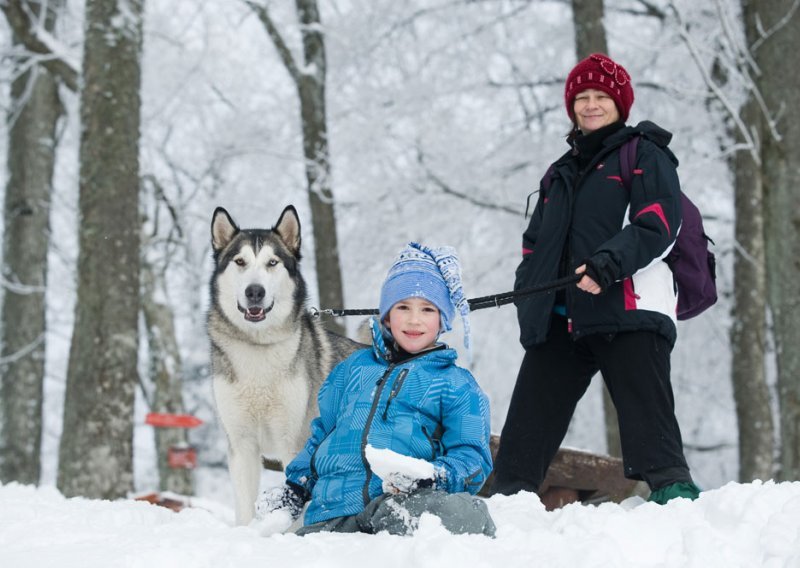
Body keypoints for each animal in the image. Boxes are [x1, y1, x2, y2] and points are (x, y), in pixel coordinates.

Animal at [208, 205, 360, 524]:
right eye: (240, 261)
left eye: (272, 262)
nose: (255, 291)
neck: (258, 347)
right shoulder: (241, 443)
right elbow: (245, 508)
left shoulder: (295, 441)